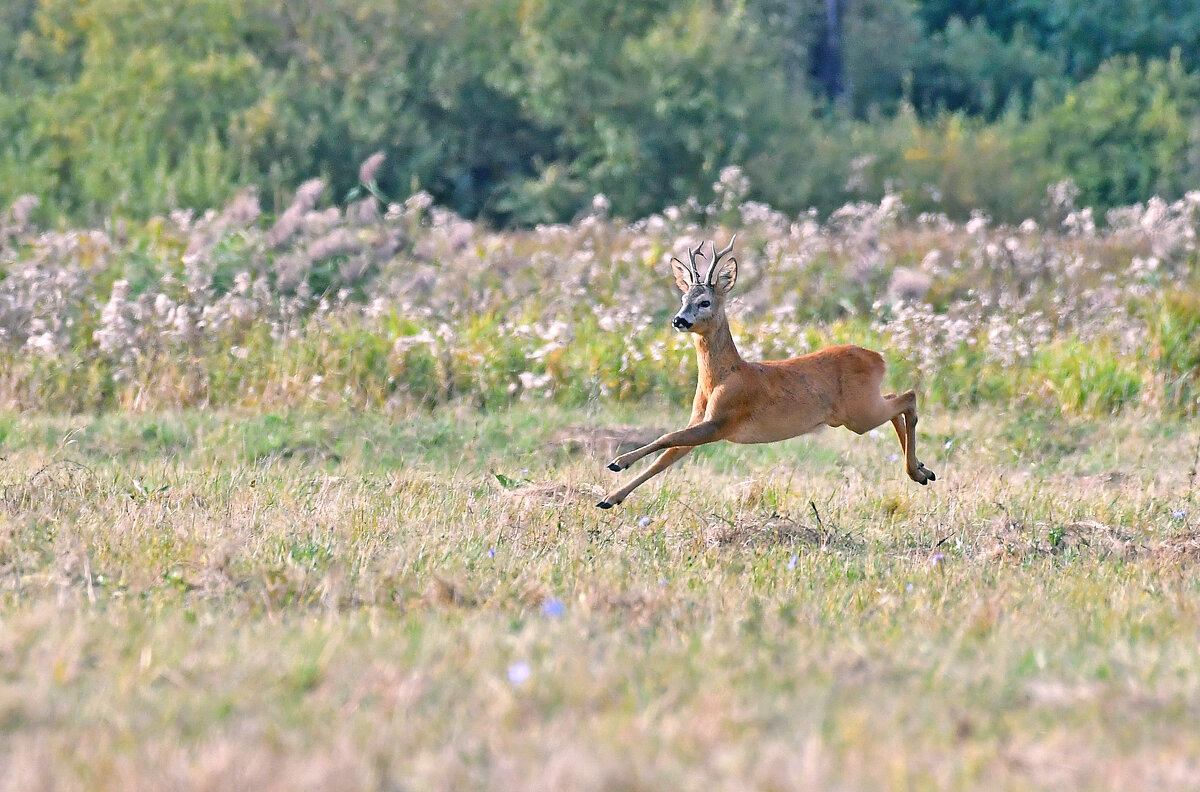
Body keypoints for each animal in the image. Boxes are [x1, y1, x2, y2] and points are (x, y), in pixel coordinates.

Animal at [600, 235, 936, 511]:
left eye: (704, 301)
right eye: (683, 299)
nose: (679, 320)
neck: (722, 378)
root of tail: (878, 358)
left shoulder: (723, 421)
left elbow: (666, 437)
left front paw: (617, 462)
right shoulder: (701, 420)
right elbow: (664, 458)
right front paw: (609, 498)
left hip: (858, 414)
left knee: (908, 397)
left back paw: (917, 471)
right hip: (860, 409)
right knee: (896, 399)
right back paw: (922, 470)